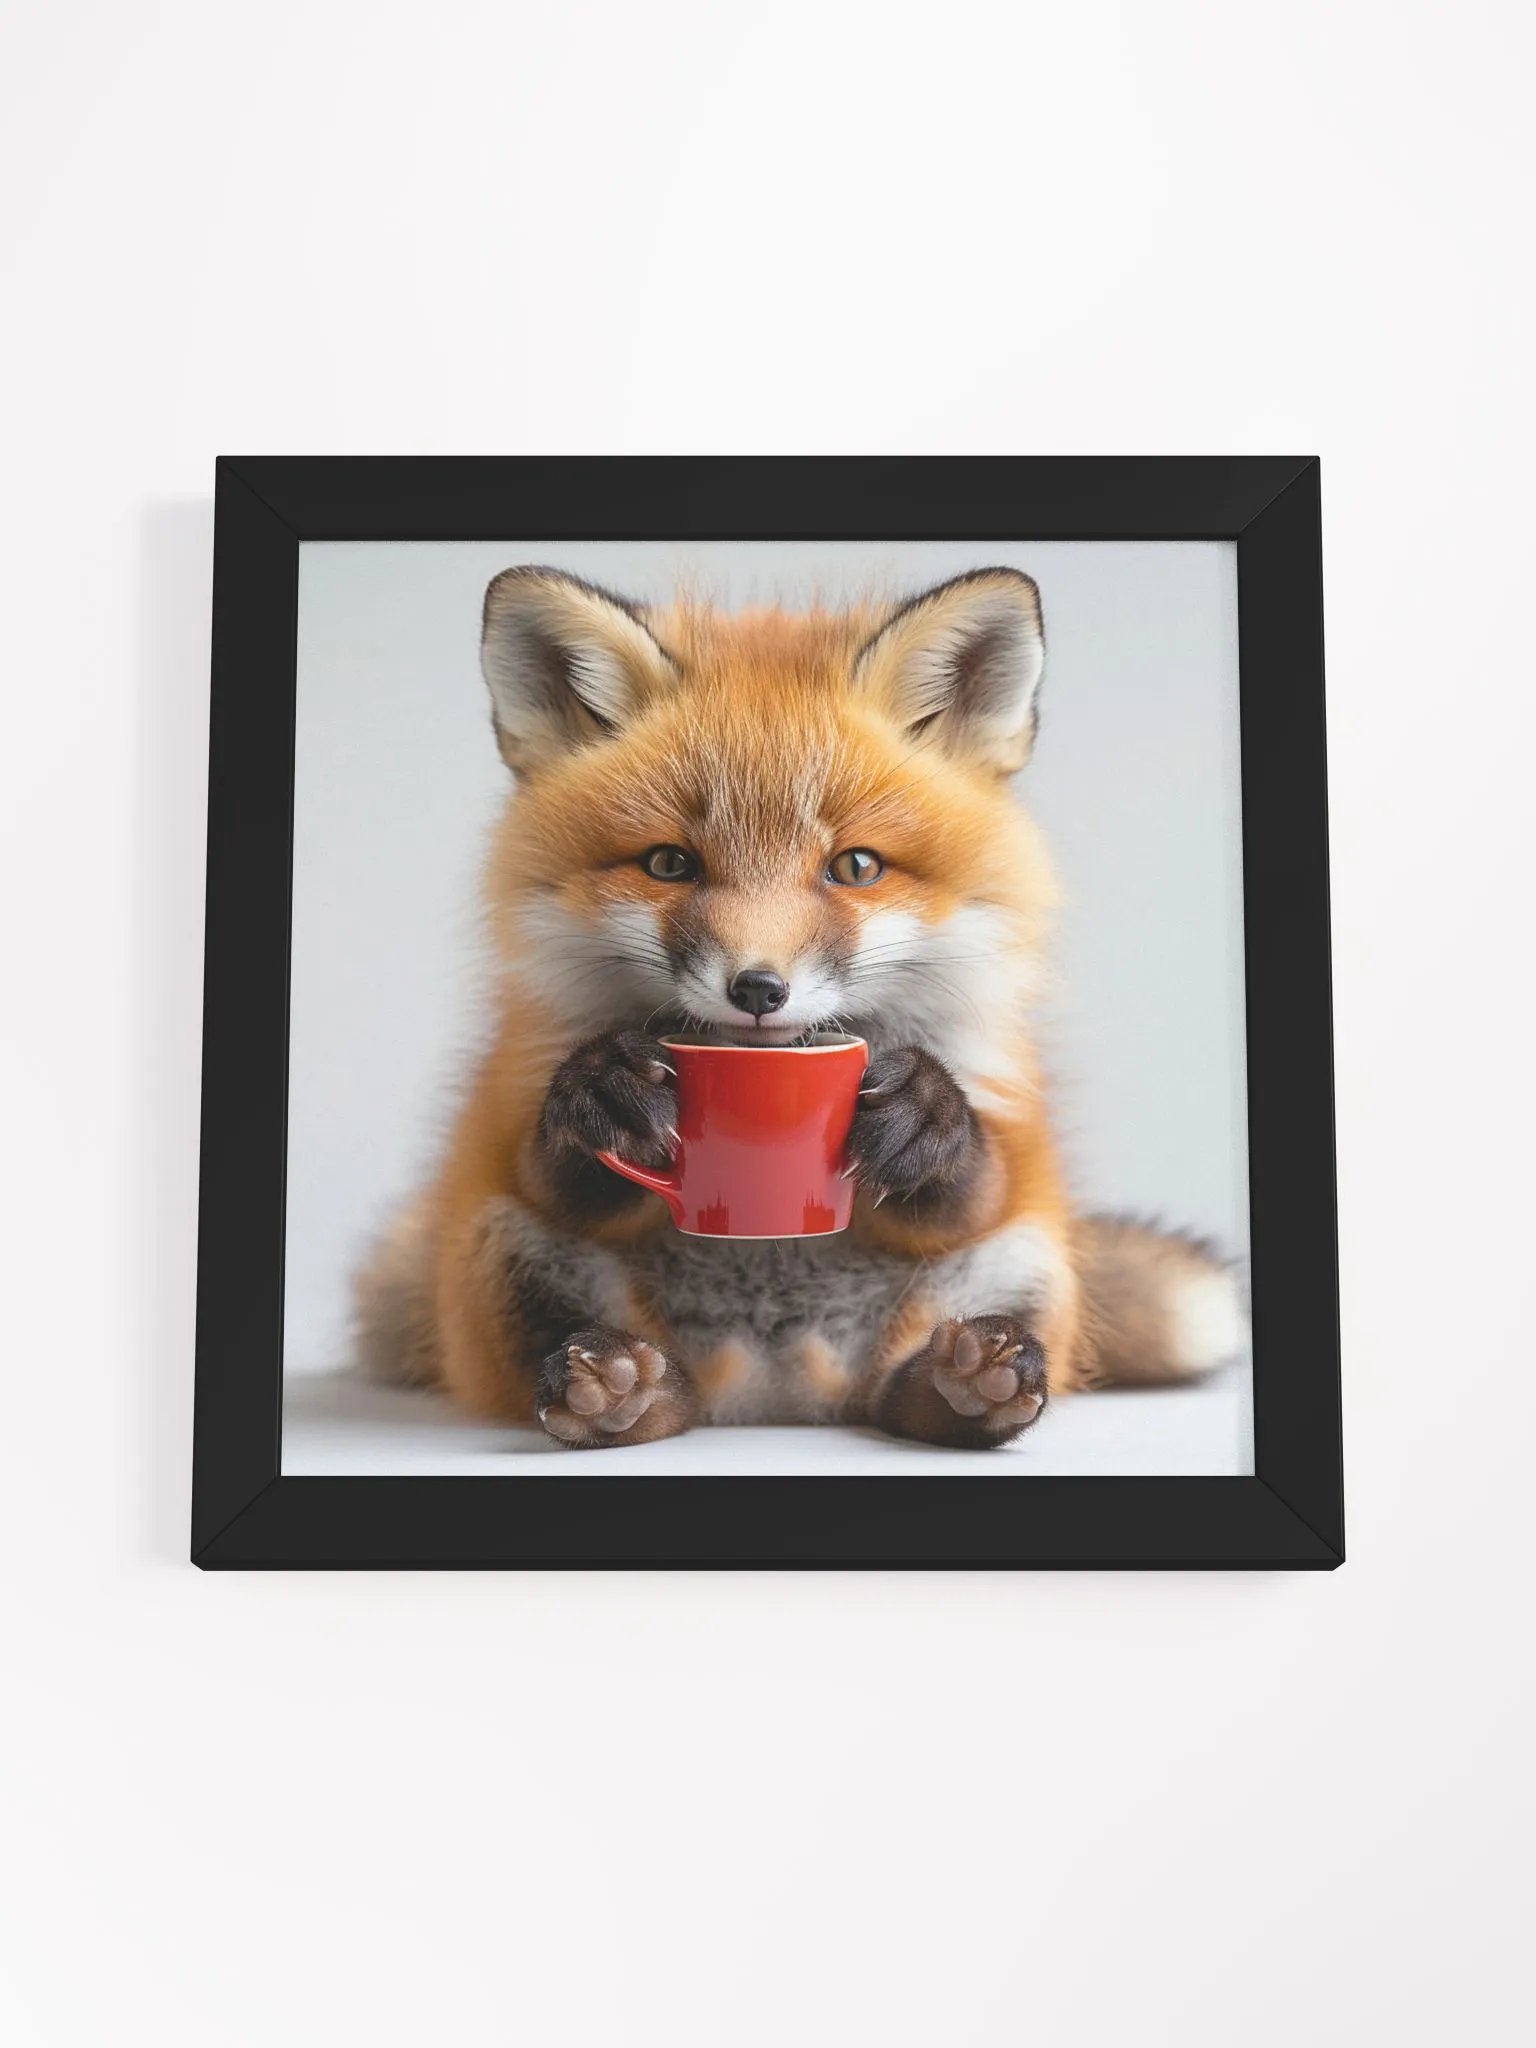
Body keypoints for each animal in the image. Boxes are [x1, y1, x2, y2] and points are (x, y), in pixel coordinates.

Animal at [355, 564, 1248, 1448]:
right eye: (669, 864)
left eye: (856, 867)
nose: (758, 989)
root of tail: (774, 1392)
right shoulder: (517, 1109)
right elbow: (553, 1170)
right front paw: (602, 1089)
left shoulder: (1000, 1123)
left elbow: (971, 1190)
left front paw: (928, 1113)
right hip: (498, 1249)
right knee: (629, 1378)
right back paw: (620, 1395)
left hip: (1027, 1257)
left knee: (909, 1395)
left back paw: (964, 1388)